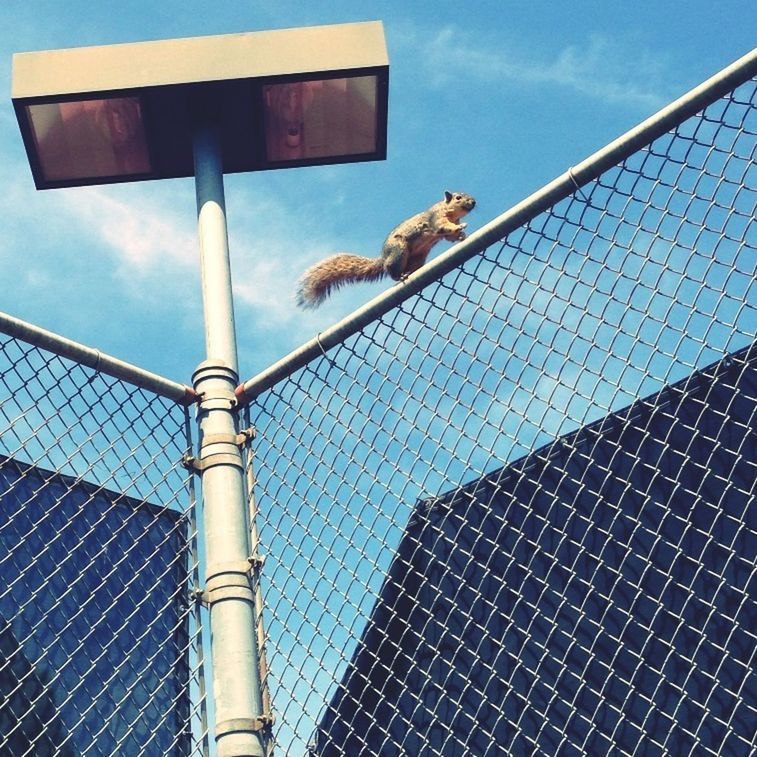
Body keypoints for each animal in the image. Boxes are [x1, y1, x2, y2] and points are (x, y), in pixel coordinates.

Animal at [294, 190, 476, 308]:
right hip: (399, 252)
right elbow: (444, 228)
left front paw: (461, 235)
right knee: (392, 271)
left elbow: (450, 236)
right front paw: (460, 228)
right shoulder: (436, 220)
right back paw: (401, 276)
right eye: (458, 197)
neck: (449, 212)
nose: (473, 202)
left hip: (417, 259)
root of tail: (384, 258)